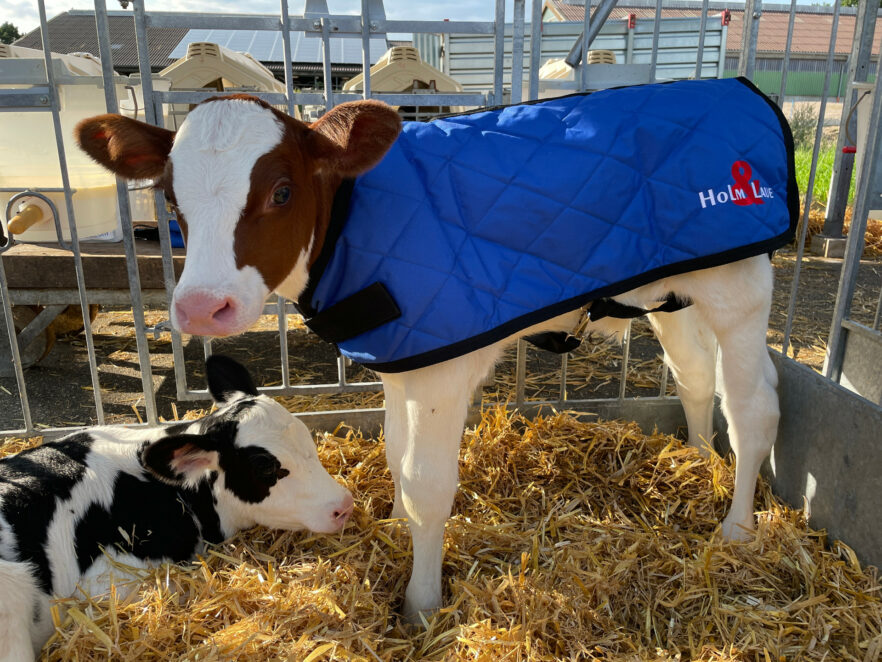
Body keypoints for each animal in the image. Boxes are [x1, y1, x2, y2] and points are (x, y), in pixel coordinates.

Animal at [74, 78, 792, 624]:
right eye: (172, 198)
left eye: (281, 191)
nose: (202, 307)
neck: (352, 222)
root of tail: (733, 87)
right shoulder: (399, 359)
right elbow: (395, 449)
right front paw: (393, 523)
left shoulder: (441, 369)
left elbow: (427, 481)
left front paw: (421, 603)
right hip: (674, 288)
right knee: (695, 376)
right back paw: (696, 460)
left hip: (738, 286)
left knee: (754, 408)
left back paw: (736, 526)